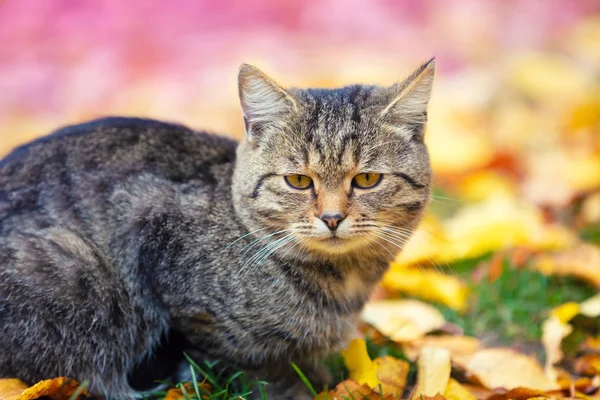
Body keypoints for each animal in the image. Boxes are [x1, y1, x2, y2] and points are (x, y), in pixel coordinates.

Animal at [0, 60, 434, 400]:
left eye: (367, 179)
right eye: (297, 181)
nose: (331, 218)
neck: (346, 284)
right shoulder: (150, 226)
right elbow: (246, 365)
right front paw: (297, 387)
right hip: (75, 267)